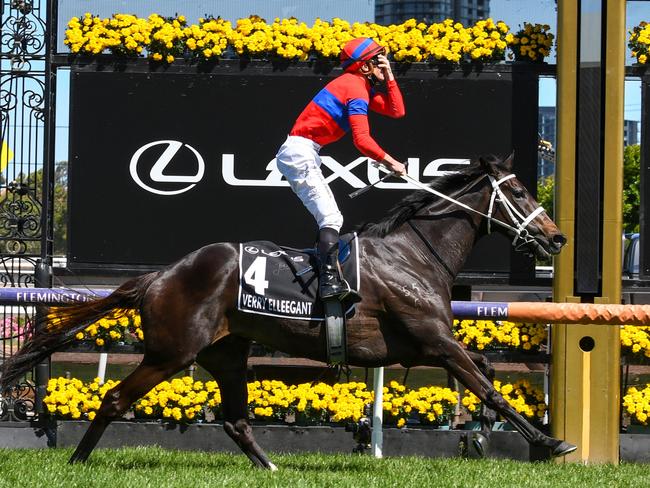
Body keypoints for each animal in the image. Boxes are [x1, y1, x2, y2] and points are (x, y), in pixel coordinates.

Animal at [3, 154, 572, 468]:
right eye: (519, 191)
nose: (556, 238)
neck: (412, 254)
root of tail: (159, 277)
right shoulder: (434, 341)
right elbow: (490, 388)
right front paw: (548, 441)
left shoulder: (431, 345)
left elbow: (489, 372)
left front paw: (482, 433)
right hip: (171, 353)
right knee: (116, 397)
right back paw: (78, 460)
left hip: (226, 354)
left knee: (235, 420)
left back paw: (272, 467)